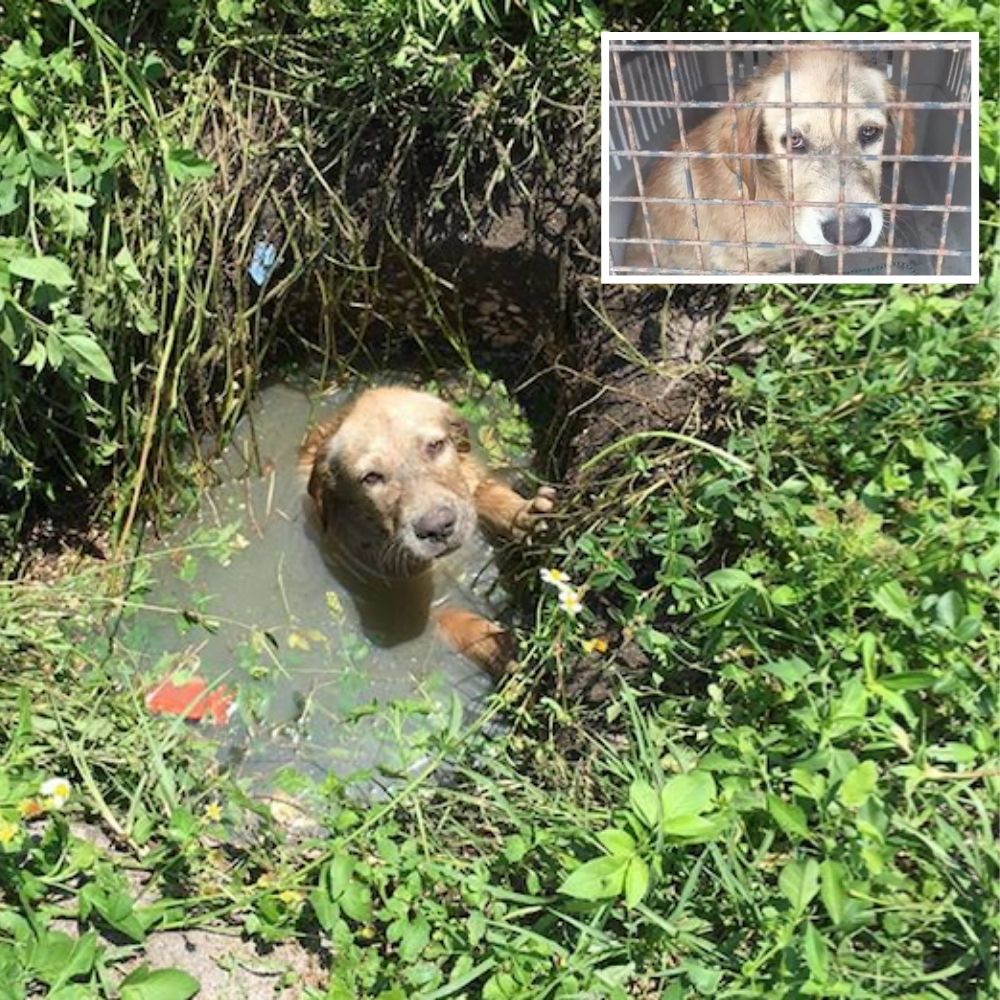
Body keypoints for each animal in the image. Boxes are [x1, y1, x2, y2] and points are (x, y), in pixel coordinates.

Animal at [300, 386, 560, 676]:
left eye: (435, 446)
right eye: (371, 478)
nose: (437, 528)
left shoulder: (470, 479)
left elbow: (487, 494)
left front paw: (525, 515)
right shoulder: (402, 599)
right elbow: (450, 616)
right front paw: (497, 645)